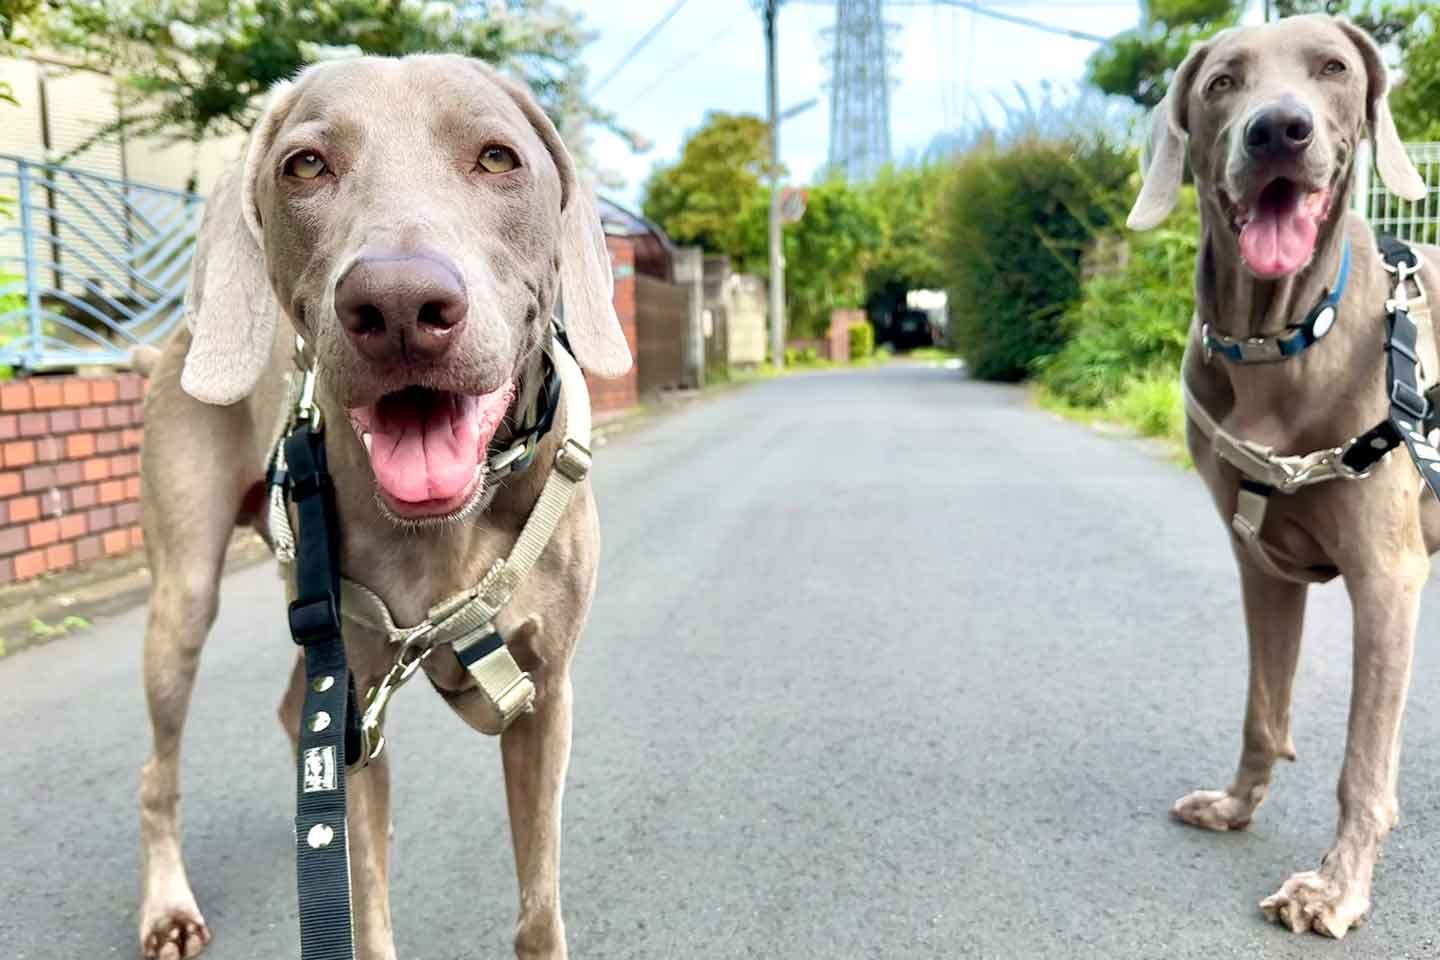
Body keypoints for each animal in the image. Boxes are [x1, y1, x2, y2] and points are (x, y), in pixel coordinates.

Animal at [136, 58, 630, 960]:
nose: (399, 305)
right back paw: (167, 909)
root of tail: (176, 338)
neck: (445, 526)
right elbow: (364, 904)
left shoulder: (543, 696)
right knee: (161, 770)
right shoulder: (357, 704)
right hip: (186, 596)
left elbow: (539, 905)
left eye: (498, 157)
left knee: (292, 709)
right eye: (304, 166)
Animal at [1128, 13, 1434, 938]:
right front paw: (1236, 807)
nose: (1279, 131)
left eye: (1333, 68)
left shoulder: (1388, 576)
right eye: (1222, 81)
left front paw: (1334, 888)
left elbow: (1362, 761)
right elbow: (1262, 710)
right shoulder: (1259, 560)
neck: (1281, 339)